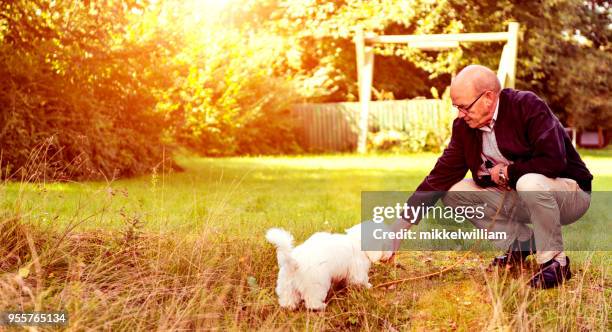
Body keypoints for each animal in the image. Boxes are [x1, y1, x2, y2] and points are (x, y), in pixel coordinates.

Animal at [266, 222, 394, 310]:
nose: (392, 253)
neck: (356, 241)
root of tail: (294, 262)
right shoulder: (358, 271)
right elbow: (361, 280)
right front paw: (368, 286)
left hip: (286, 285)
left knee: (287, 299)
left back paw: (290, 307)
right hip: (316, 285)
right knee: (312, 302)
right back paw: (321, 306)